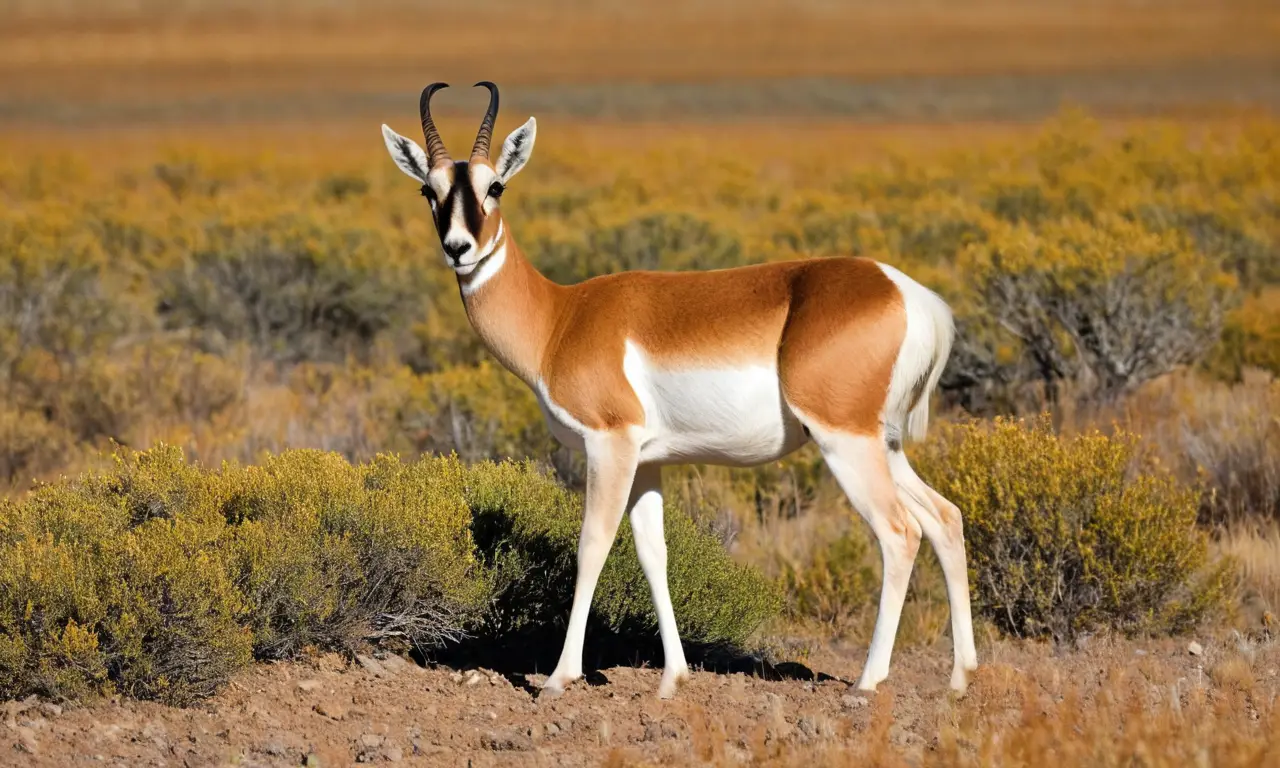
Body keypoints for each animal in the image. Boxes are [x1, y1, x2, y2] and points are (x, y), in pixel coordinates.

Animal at [381, 82, 978, 700]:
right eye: (429, 189)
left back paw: (867, 682)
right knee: (945, 518)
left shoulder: (609, 445)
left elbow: (592, 546)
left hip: (846, 443)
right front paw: (673, 677)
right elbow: (653, 554)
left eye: (494, 185)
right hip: (883, 444)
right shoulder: (647, 462)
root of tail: (909, 294)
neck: (561, 319)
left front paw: (559, 677)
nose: (458, 247)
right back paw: (959, 679)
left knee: (899, 533)